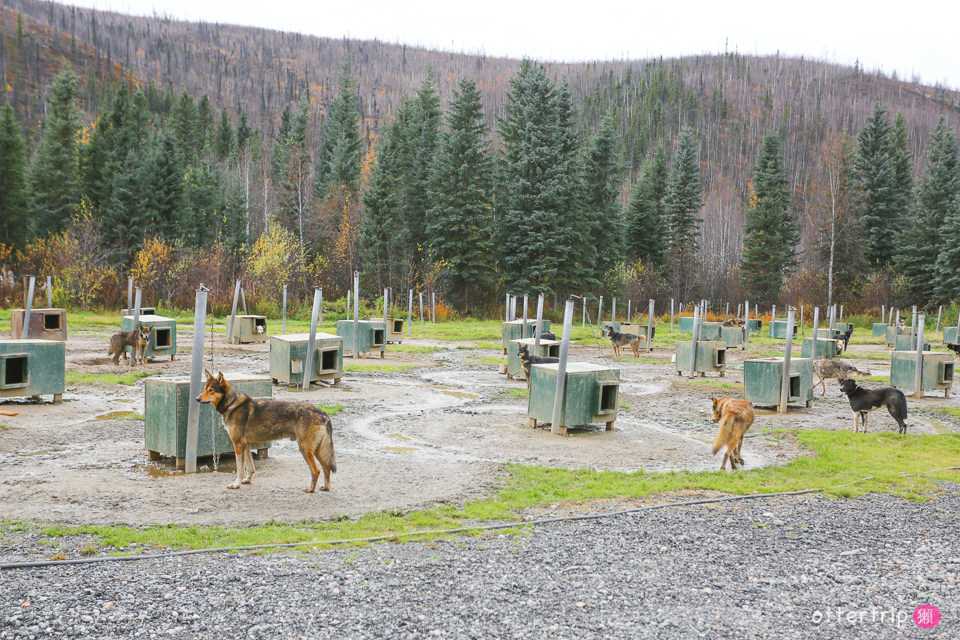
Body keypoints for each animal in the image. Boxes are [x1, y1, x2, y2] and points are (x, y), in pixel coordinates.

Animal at [195, 370, 338, 490]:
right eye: (204, 389)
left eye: (211, 390)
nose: (197, 399)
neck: (232, 404)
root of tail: (322, 413)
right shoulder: (246, 445)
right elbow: (250, 467)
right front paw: (247, 480)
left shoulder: (238, 445)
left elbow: (240, 469)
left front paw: (236, 484)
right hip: (317, 450)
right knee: (326, 469)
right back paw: (326, 488)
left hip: (305, 449)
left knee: (316, 471)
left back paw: (310, 489)